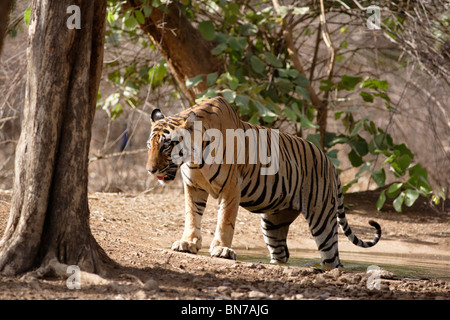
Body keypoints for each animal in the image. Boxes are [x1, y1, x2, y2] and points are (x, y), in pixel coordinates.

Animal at [147, 95, 380, 268]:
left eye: (166, 146)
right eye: (150, 145)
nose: (150, 170)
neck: (195, 158)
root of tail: (329, 162)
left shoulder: (231, 188)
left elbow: (225, 221)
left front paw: (221, 249)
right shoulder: (194, 187)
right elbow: (192, 216)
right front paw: (188, 243)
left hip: (322, 219)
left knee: (333, 259)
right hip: (274, 223)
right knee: (282, 253)